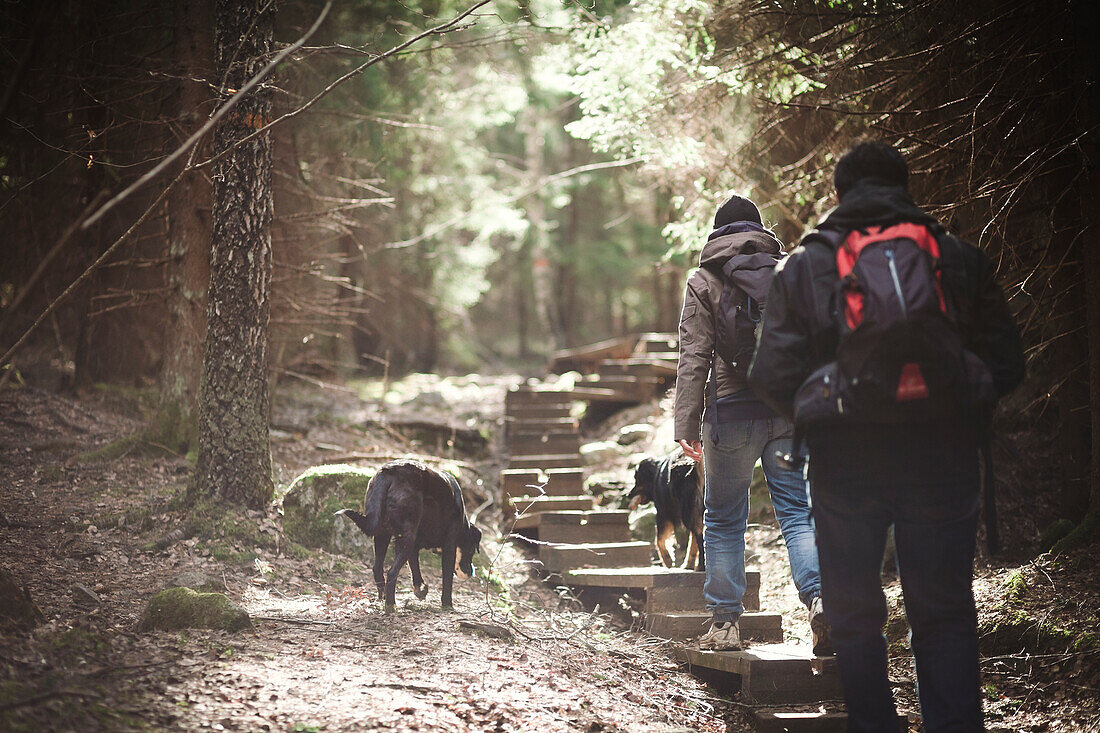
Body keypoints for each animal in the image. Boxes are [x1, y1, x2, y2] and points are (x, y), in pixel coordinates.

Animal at [334, 460, 481, 607]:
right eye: (471, 551)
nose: (471, 572)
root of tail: (389, 471)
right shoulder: (449, 546)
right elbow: (447, 579)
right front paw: (447, 604)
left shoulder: (415, 547)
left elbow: (415, 571)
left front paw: (420, 590)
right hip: (406, 539)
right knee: (392, 572)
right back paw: (391, 605)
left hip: (383, 534)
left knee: (377, 568)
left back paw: (382, 597)